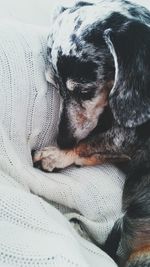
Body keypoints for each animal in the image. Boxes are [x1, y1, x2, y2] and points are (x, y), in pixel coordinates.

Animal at [33, 1, 150, 266]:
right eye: (54, 86)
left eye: (84, 92)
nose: (63, 140)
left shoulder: (131, 138)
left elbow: (97, 141)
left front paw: (55, 155)